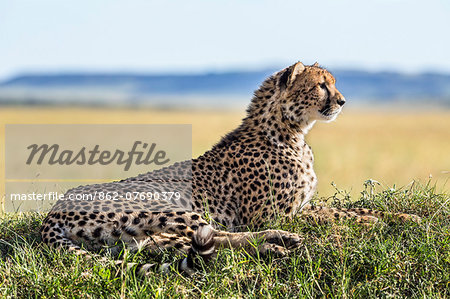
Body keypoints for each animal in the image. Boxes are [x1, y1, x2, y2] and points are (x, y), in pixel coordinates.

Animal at [41, 62, 418, 276]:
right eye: (321, 85)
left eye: (333, 83)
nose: (342, 101)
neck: (290, 132)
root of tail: (55, 210)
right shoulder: (272, 214)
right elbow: (334, 215)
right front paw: (368, 224)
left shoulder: (301, 205)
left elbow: (348, 208)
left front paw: (404, 217)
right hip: (170, 207)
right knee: (214, 238)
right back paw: (274, 243)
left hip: (141, 234)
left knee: (181, 245)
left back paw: (273, 244)